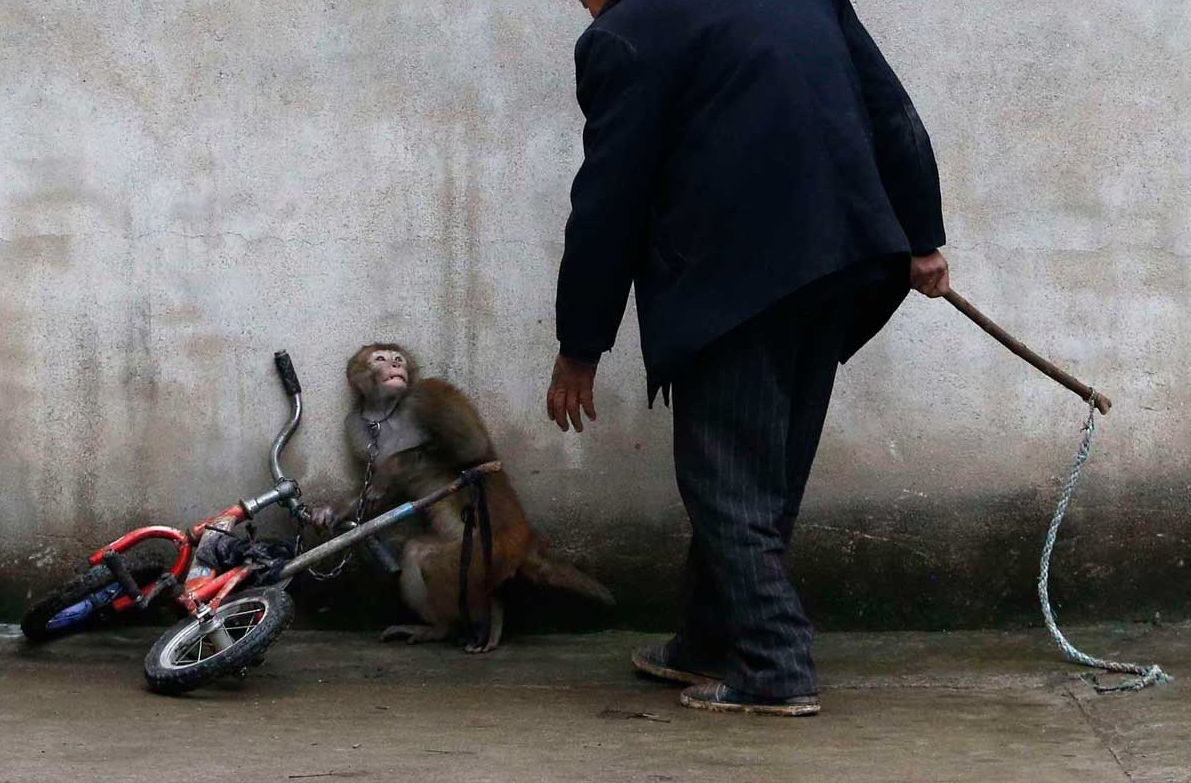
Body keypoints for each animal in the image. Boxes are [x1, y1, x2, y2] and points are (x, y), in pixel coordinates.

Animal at [309, 343, 614, 653]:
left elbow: (471, 446)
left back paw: (483, 619)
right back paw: (444, 626)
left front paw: (388, 470)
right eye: (380, 358)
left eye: (398, 359)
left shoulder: (430, 394)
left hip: (495, 550)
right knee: (417, 553)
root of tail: (528, 540)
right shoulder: (356, 427)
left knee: (437, 566)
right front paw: (332, 511)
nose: (395, 367)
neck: (386, 413)